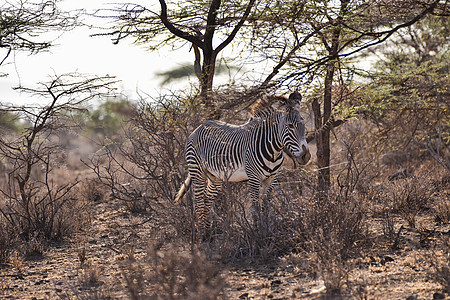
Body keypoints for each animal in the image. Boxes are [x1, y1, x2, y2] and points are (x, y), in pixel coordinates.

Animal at [175, 91, 310, 234]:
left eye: (304, 125)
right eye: (290, 126)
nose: (306, 156)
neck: (274, 151)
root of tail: (199, 127)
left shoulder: (272, 179)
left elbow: (265, 206)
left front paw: (267, 230)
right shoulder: (254, 178)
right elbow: (255, 207)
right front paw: (258, 233)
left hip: (215, 177)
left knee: (207, 199)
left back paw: (209, 232)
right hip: (197, 171)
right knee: (199, 202)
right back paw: (202, 234)